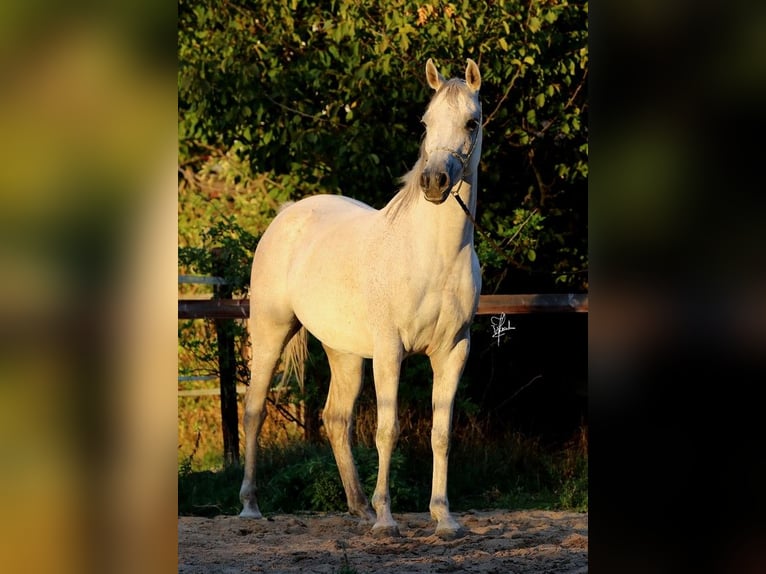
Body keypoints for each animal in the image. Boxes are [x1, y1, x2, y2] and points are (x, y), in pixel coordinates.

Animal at [240, 58, 484, 540]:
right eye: (425, 122)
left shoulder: (454, 351)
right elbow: (388, 430)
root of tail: (288, 213)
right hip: (271, 333)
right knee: (254, 410)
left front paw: (444, 518)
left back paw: (358, 508)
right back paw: (251, 506)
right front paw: (388, 519)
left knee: (336, 419)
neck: (434, 255)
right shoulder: (391, 350)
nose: (434, 182)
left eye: (472, 121)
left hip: (345, 352)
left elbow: (441, 433)